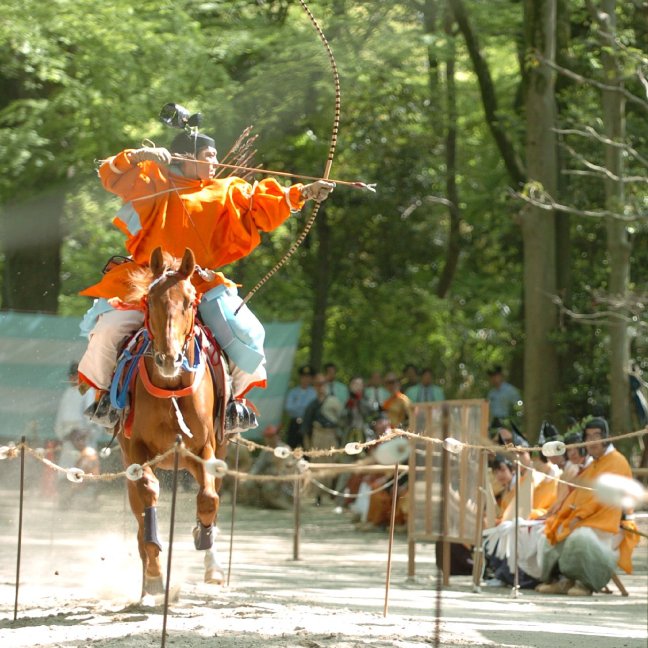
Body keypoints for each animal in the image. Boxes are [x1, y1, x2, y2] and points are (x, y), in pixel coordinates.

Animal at [119, 246, 228, 598]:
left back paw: (213, 565)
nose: (169, 359)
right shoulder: (136, 450)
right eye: (150, 301)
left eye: (190, 302)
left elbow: (208, 498)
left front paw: (203, 537)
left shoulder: (203, 448)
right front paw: (154, 574)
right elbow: (147, 492)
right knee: (139, 514)